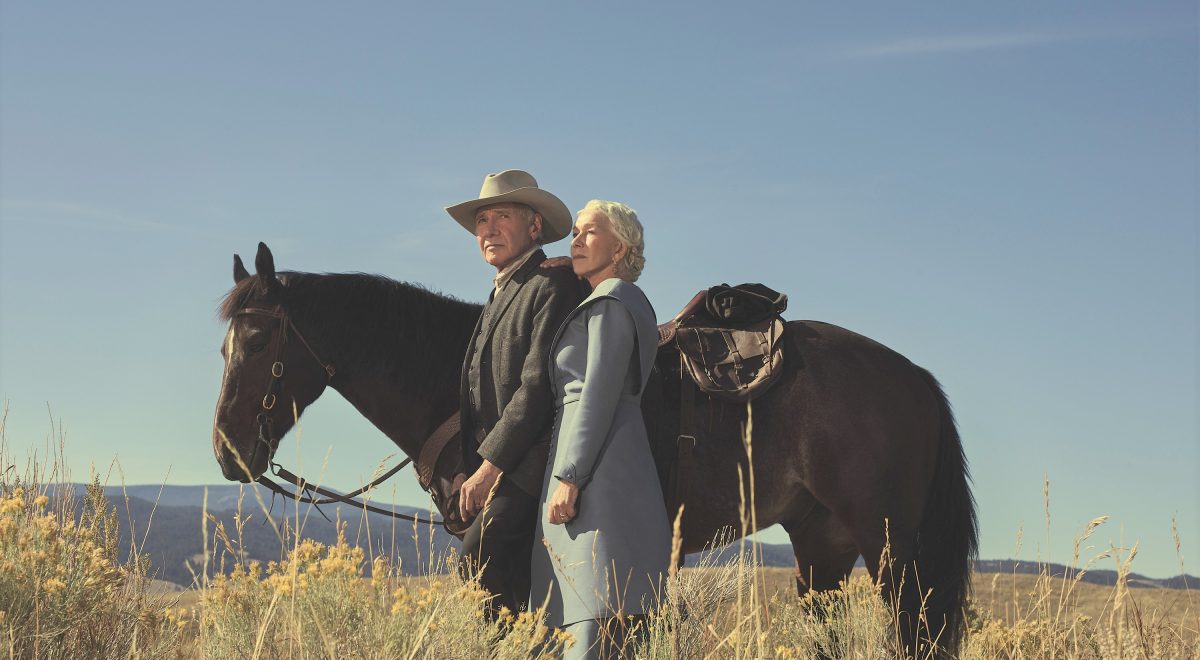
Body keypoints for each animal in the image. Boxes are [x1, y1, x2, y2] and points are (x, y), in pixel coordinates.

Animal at [208, 244, 974, 657]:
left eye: (258, 339)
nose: (226, 452)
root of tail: (915, 377)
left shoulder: (501, 548)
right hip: (822, 547)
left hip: (891, 548)